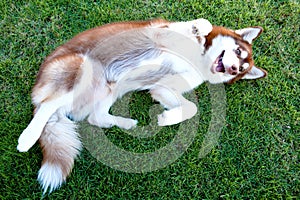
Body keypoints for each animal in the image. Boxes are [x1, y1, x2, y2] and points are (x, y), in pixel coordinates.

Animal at [16, 18, 268, 193]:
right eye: (238, 51)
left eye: (242, 68)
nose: (233, 69)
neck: (200, 59)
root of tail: (40, 79)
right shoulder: (164, 32)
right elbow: (200, 24)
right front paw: (200, 29)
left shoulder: (161, 89)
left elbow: (192, 109)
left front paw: (166, 118)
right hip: (84, 67)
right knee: (47, 106)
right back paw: (27, 138)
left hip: (108, 89)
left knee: (95, 117)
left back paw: (126, 123)